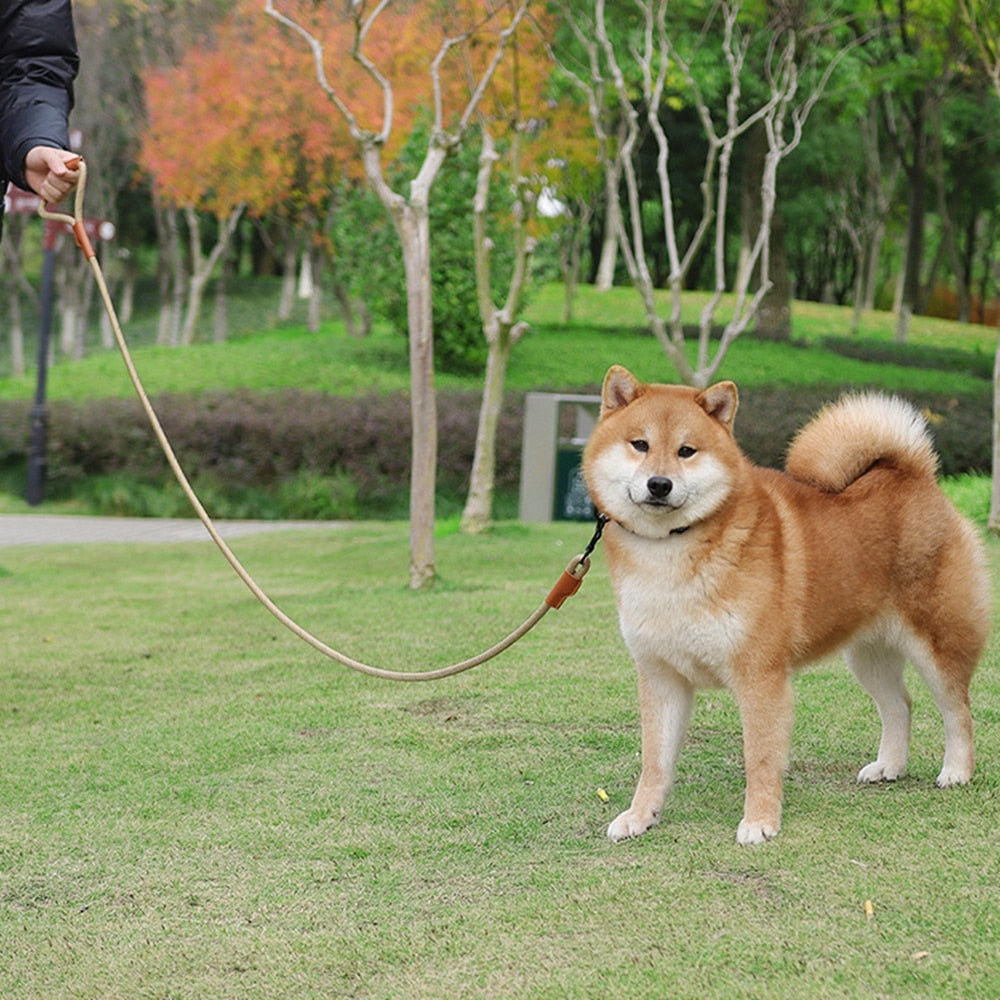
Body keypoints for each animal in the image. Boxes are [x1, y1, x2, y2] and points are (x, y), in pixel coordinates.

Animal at [584, 368, 988, 844]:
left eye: (686, 451)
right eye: (640, 445)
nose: (659, 484)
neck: (670, 553)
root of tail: (911, 473)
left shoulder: (760, 676)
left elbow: (759, 757)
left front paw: (760, 821)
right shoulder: (662, 677)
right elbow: (654, 762)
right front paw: (640, 815)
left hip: (937, 643)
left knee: (957, 709)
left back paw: (956, 771)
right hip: (869, 656)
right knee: (899, 705)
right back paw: (889, 765)